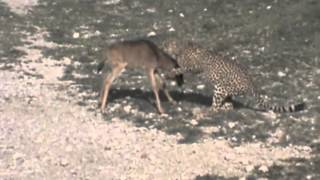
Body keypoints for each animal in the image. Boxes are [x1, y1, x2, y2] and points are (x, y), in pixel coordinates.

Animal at [164, 40, 306, 114]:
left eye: (168, 44)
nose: (164, 45)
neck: (181, 48)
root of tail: (252, 84)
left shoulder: (194, 66)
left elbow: (182, 68)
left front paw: (170, 73)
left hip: (220, 87)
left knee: (216, 107)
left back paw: (206, 111)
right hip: (226, 91)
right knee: (229, 106)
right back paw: (222, 109)